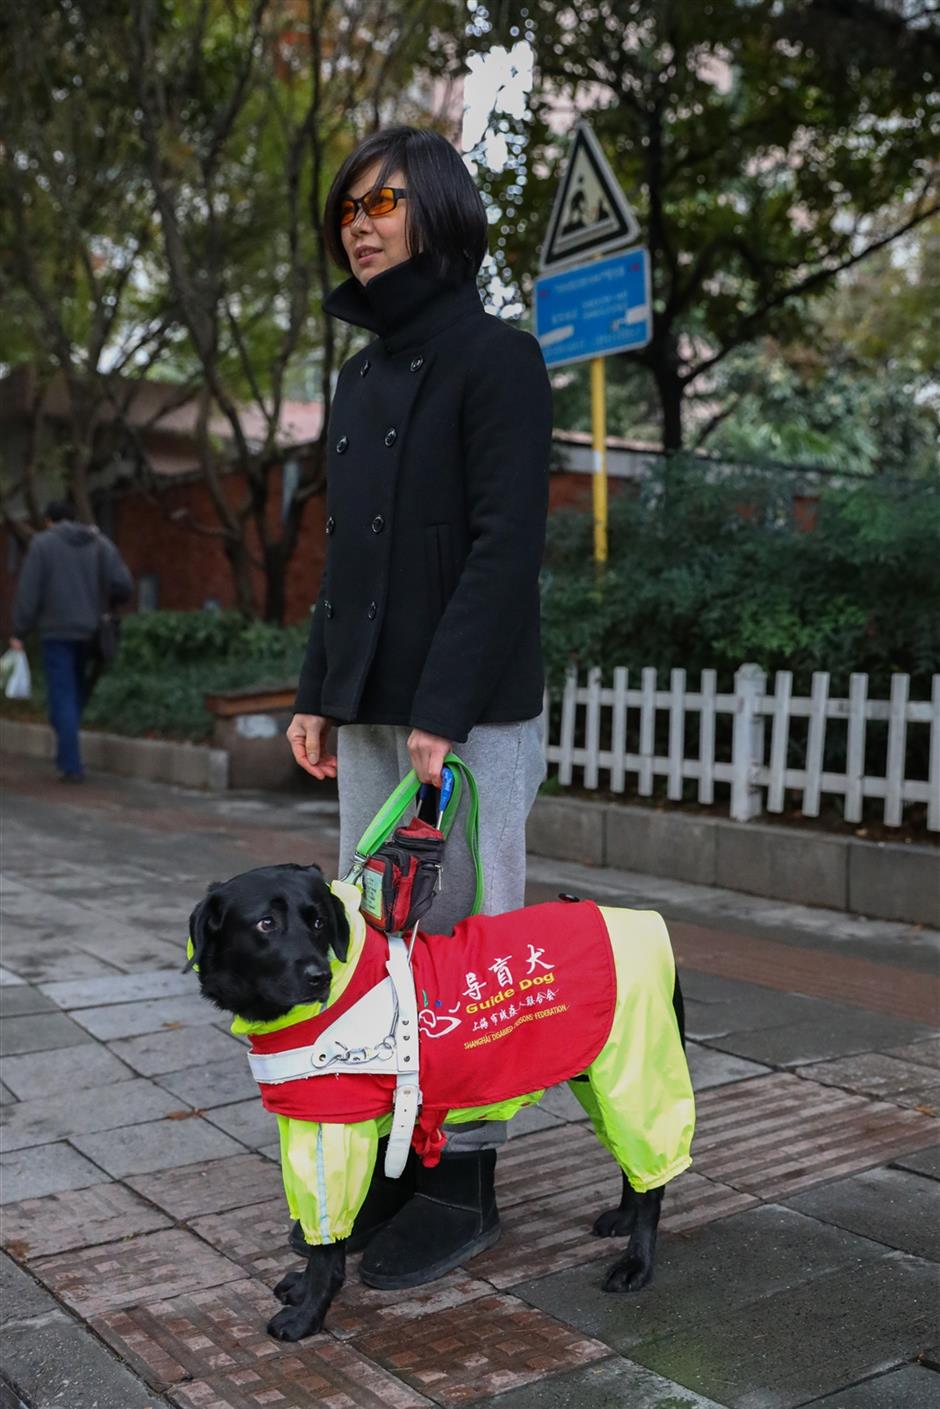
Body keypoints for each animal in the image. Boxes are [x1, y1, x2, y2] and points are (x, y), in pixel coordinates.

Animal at [187, 856, 696, 1341]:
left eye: (317, 922)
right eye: (265, 924)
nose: (318, 978)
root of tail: (645, 923)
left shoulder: (330, 1132)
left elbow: (327, 1245)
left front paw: (308, 1314)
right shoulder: (310, 1121)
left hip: (636, 1070)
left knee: (654, 1164)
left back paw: (637, 1262)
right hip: (599, 1078)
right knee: (632, 1161)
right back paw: (626, 1217)